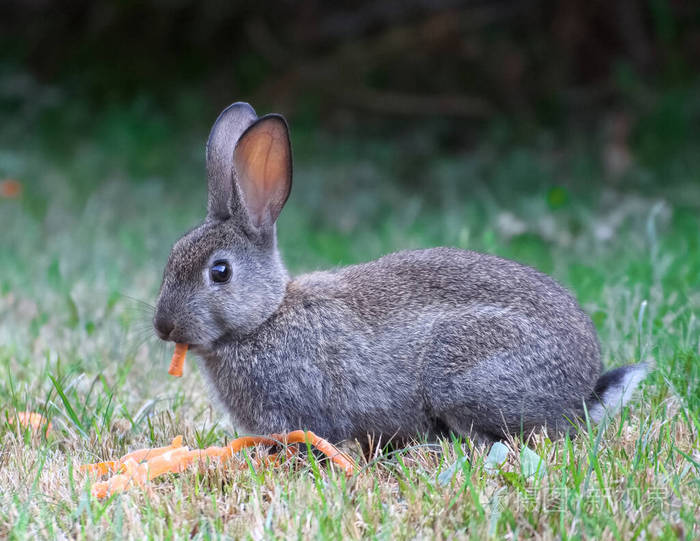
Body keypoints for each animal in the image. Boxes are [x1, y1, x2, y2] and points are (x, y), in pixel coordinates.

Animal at [152, 102, 644, 448]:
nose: (163, 326)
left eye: (220, 272)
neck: (265, 318)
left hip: (462, 372)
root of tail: (581, 391)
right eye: (171, 257)